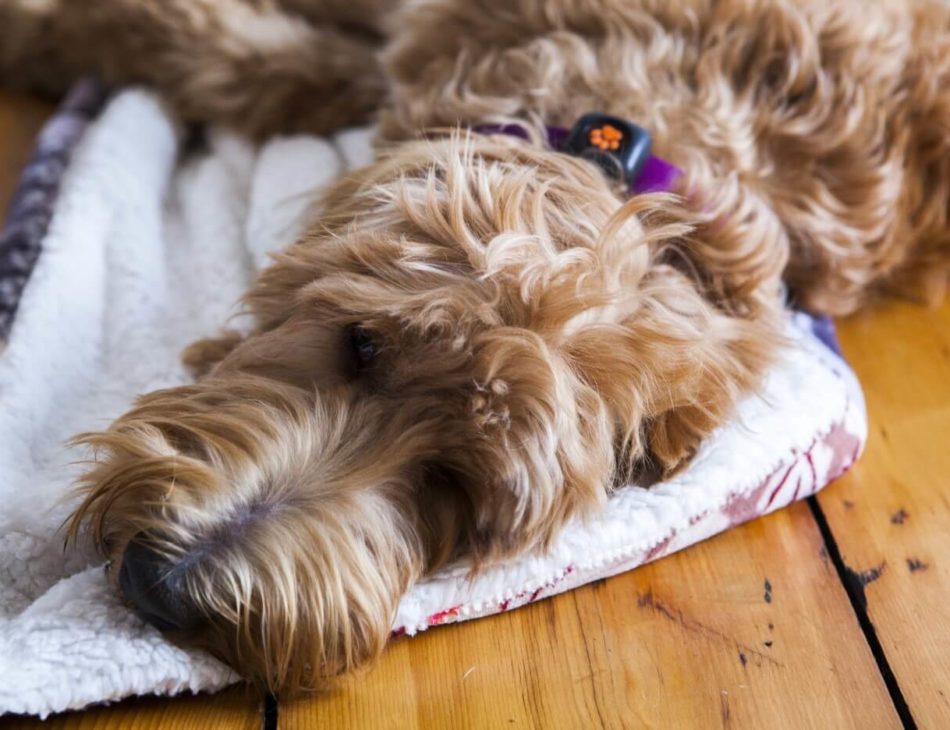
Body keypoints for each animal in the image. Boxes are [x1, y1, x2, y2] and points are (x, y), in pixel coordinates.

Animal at [1, 0, 950, 692]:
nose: (165, 585)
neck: (626, 155)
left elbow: (258, 65)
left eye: (452, 481)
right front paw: (41, 27)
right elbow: (247, 60)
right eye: (362, 345)